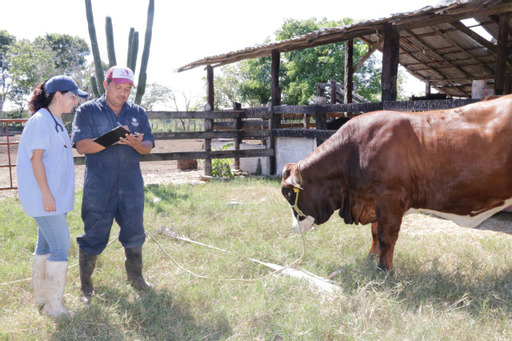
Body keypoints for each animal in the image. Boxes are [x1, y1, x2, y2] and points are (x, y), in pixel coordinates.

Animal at [280, 95, 512, 268]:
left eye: (288, 193)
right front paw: (371, 258)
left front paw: (385, 270)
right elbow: (375, 233)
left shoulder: (389, 198)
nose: (294, 228)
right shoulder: (374, 200)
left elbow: (386, 236)